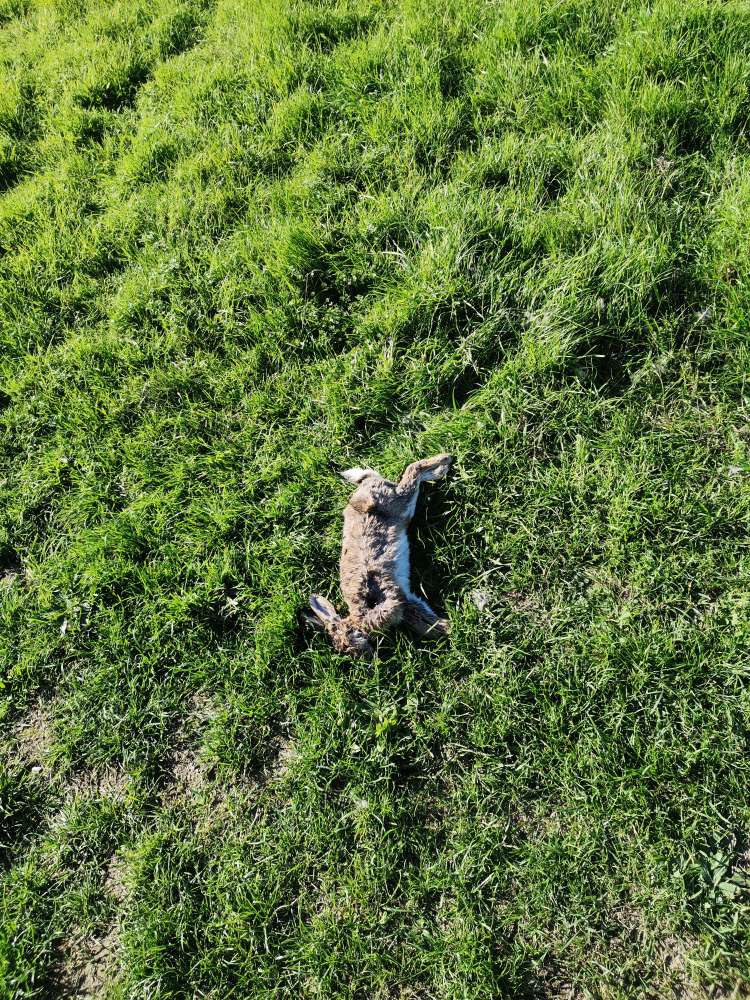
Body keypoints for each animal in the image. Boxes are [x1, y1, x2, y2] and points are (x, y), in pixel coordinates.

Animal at [308, 454, 454, 659]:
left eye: (348, 638)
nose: (366, 656)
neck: (358, 619)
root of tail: (365, 485)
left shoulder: (392, 596)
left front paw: (449, 627)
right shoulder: (407, 601)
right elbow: (421, 618)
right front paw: (446, 627)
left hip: (398, 500)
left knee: (412, 471)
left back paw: (444, 461)